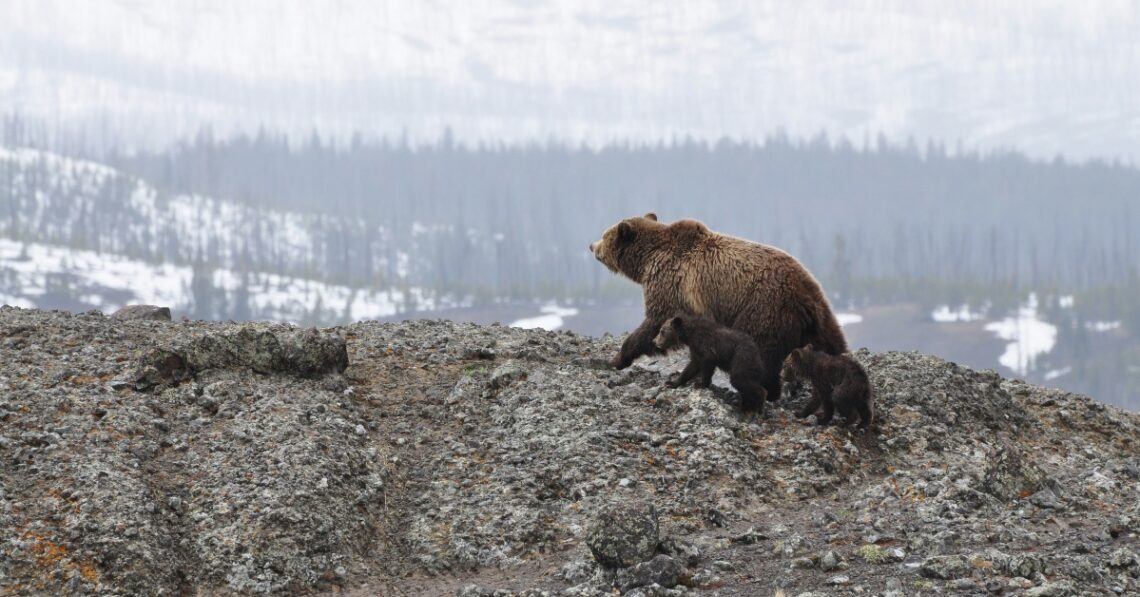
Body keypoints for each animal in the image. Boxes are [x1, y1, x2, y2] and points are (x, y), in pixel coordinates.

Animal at [589, 213, 848, 403]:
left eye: (605, 234)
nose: (591, 245)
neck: (646, 261)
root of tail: (807, 297)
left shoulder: (670, 283)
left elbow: (655, 321)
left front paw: (618, 358)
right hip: (820, 316)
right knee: (834, 345)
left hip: (764, 309)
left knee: (761, 353)